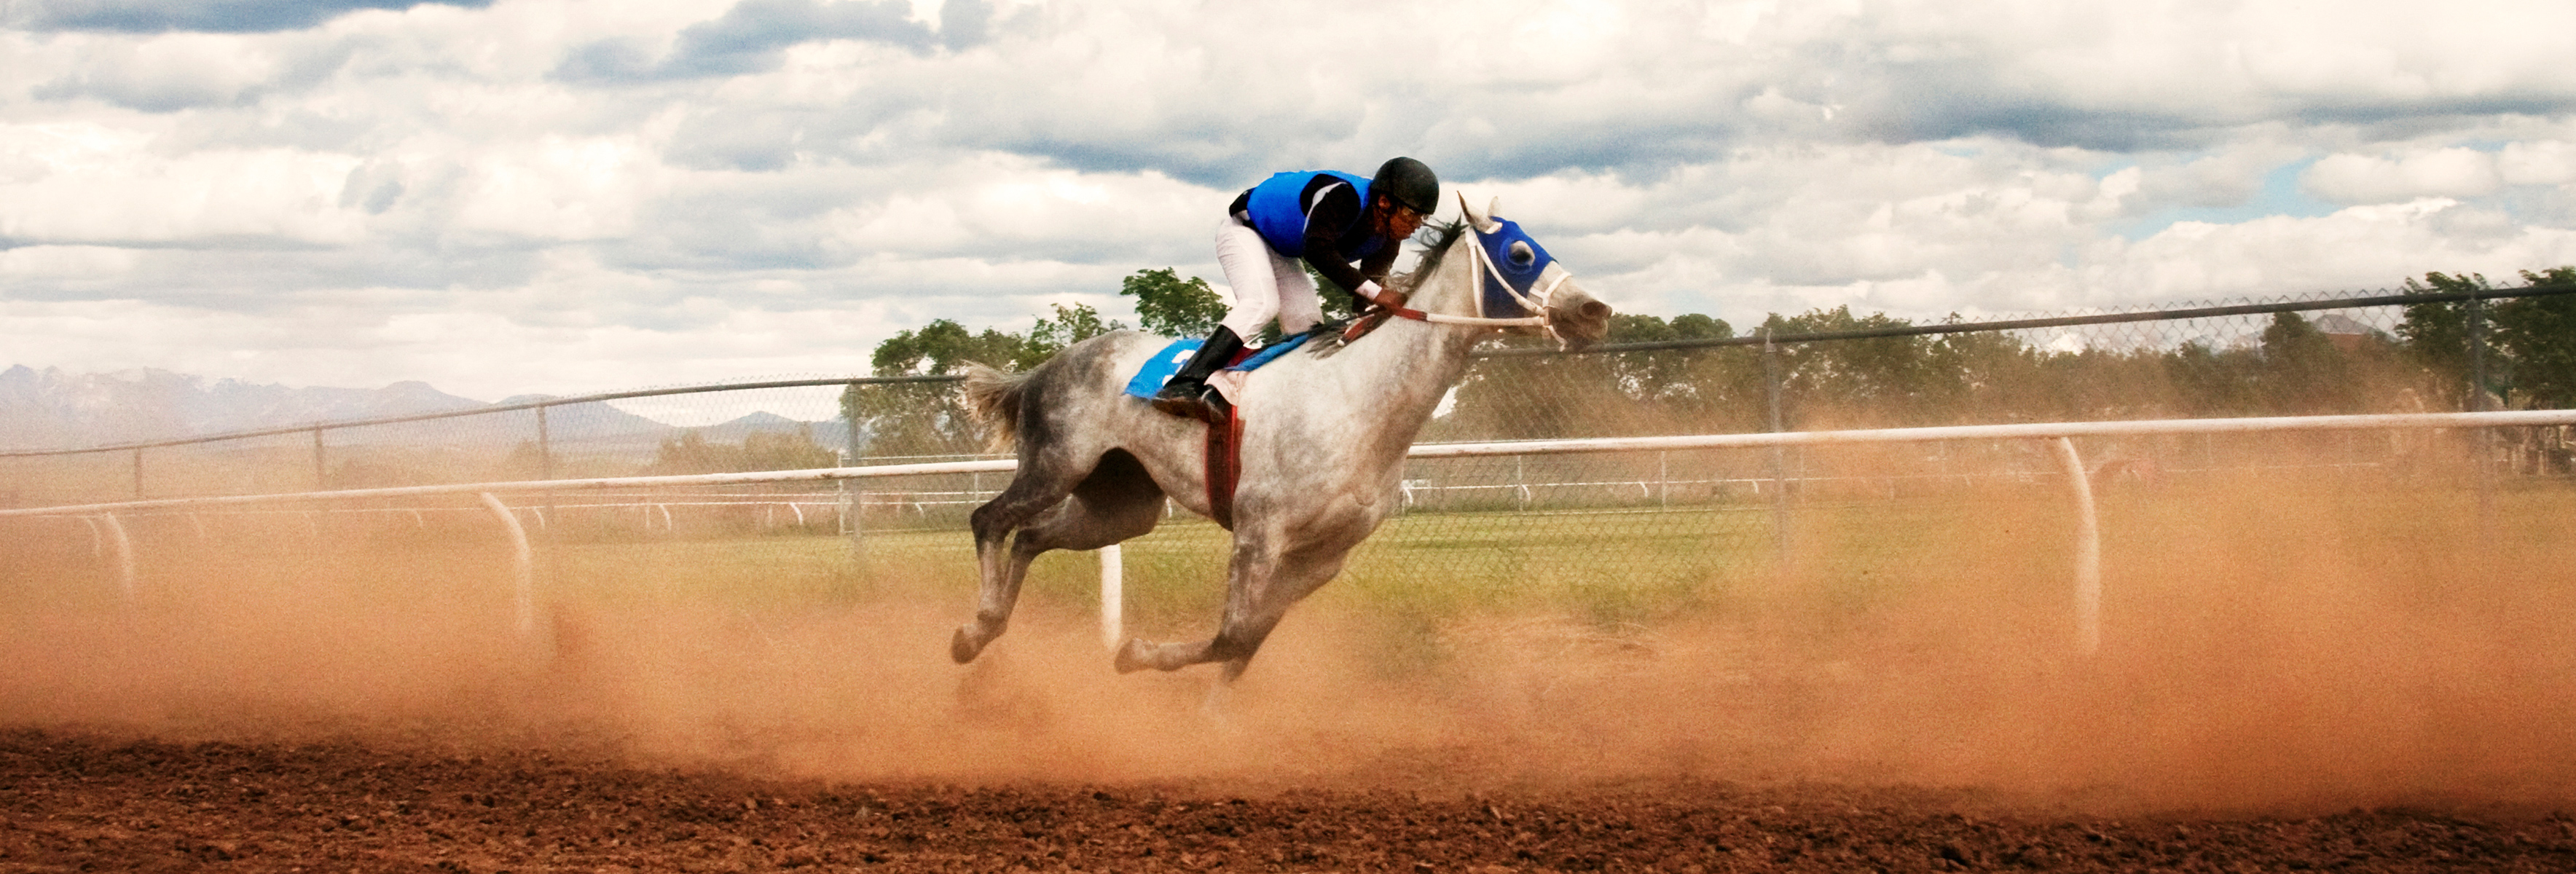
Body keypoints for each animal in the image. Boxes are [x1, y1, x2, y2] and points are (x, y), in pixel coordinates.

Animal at [948, 198, 1607, 685]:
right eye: (1520, 254)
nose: (1594, 311)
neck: (1356, 398)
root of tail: (1043, 368)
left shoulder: (1322, 557)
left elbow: (1247, 643)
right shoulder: (1259, 532)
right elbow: (1232, 635)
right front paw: (1135, 654)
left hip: (1123, 505)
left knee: (1032, 536)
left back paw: (991, 629)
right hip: (1056, 464)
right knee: (990, 519)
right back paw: (973, 630)